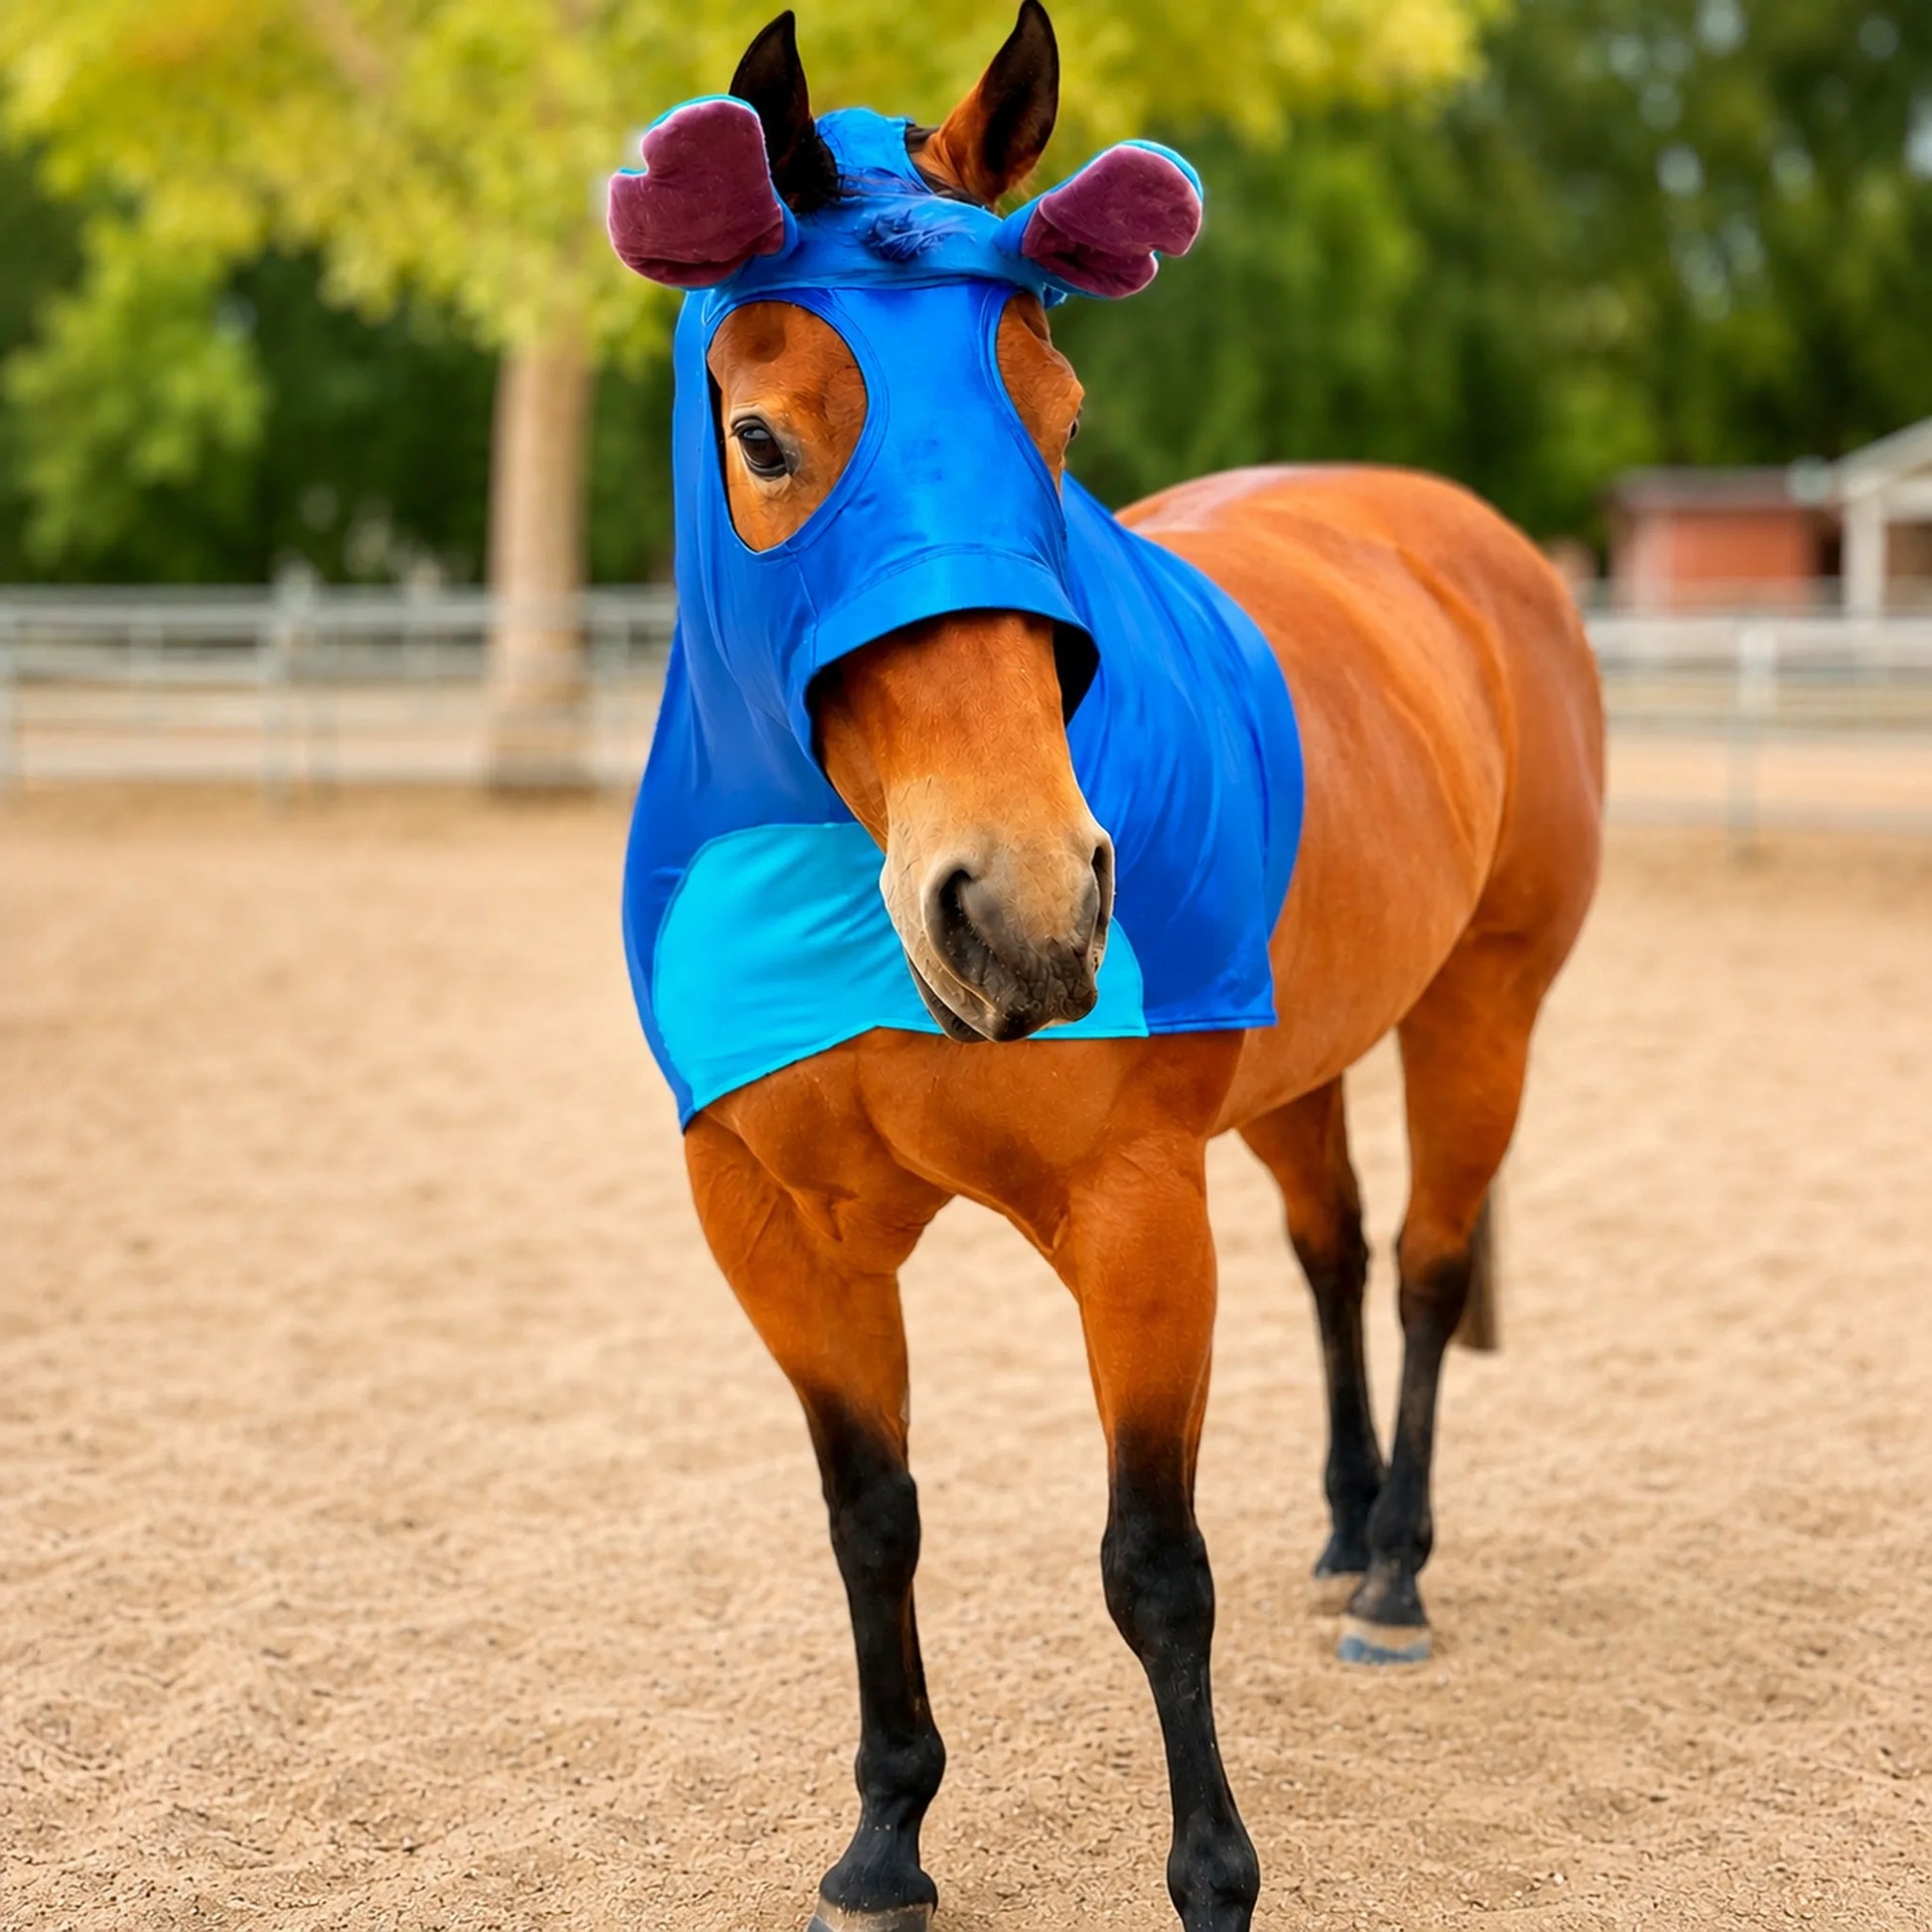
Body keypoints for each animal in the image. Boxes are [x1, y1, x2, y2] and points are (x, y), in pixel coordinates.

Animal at [607, 8, 1604, 1930]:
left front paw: (1212, 1876)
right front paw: (885, 1837)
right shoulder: (770, 1228)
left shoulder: (1133, 1214)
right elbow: (872, 1518)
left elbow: (1152, 1563)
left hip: (1486, 1010)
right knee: (1333, 1251)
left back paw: (1393, 1574)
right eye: (761, 437)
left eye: (1056, 421)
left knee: (1425, 1265)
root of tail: (1459, 541)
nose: (1025, 909)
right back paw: (1346, 1525)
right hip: (1294, 1056)